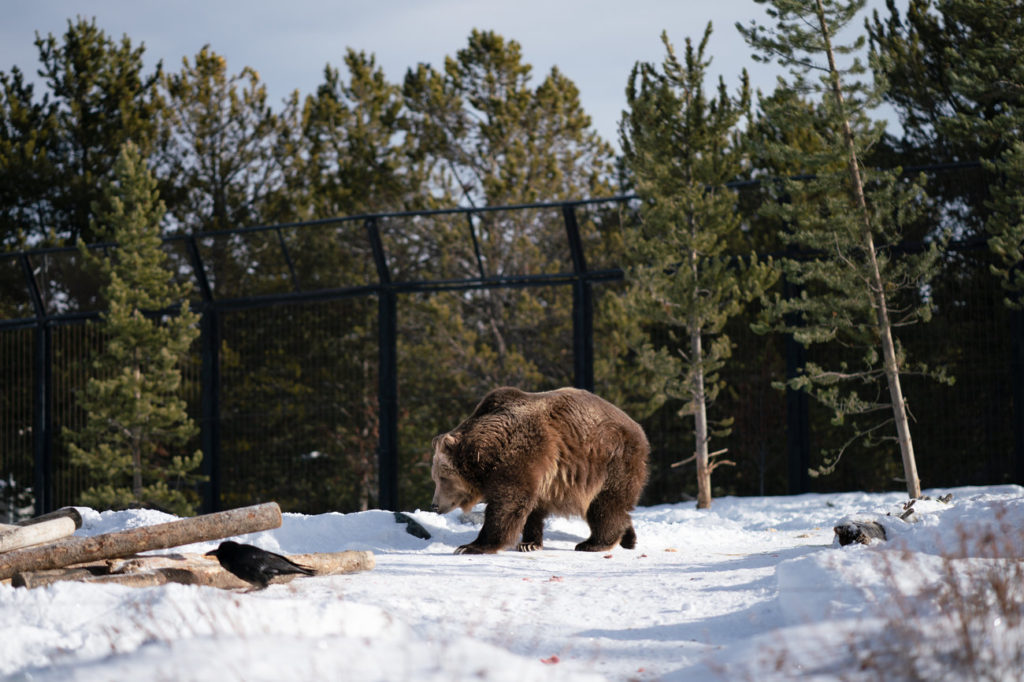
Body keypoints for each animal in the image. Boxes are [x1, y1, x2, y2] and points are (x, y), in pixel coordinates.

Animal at [430, 385, 647, 548]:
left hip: (611, 458)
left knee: (605, 502)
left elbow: (509, 501)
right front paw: (529, 543)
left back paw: (594, 543)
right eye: (435, 479)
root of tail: (637, 427)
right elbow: (532, 506)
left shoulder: (523, 452)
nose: (434, 505)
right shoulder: (539, 469)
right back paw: (629, 538)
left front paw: (472, 546)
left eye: (443, 478)